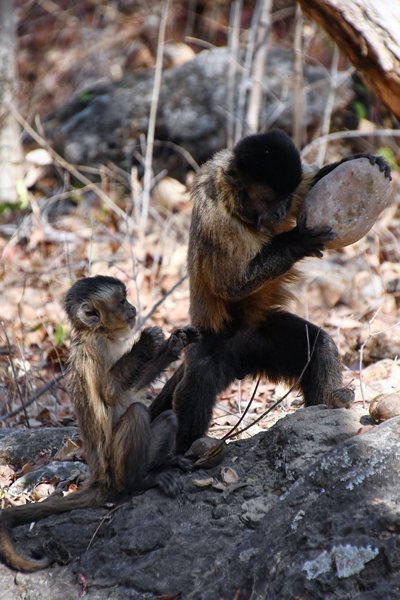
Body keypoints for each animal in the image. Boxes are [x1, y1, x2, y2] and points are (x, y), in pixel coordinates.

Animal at [0, 276, 199, 572]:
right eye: (122, 301)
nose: (133, 308)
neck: (101, 333)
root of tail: (99, 480)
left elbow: (135, 386)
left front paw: (175, 345)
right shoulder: (96, 349)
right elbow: (109, 391)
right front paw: (146, 342)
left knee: (167, 417)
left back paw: (163, 463)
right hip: (115, 469)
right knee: (137, 413)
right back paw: (140, 482)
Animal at [152, 129, 392, 452]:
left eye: (284, 199)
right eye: (268, 199)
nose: (279, 212)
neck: (236, 206)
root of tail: (241, 359)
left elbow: (307, 183)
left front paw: (364, 158)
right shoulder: (216, 217)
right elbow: (230, 284)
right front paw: (298, 241)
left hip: (261, 338)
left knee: (319, 346)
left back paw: (330, 401)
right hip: (212, 338)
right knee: (199, 375)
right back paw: (184, 452)